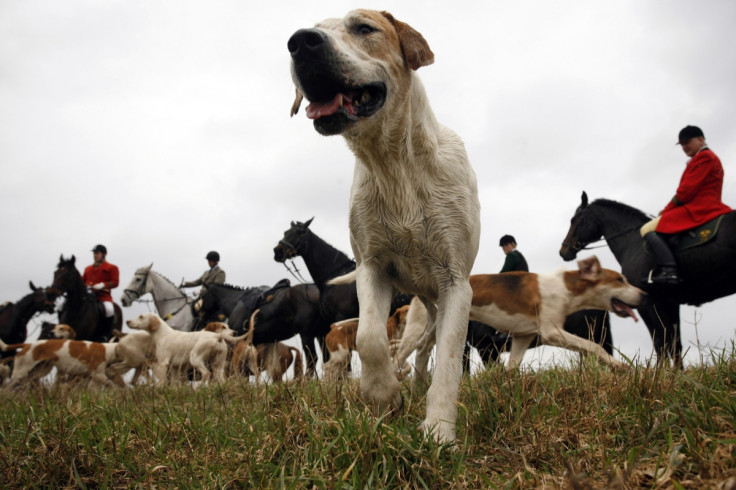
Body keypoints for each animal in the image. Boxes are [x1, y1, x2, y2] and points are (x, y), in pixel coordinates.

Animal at [556, 191, 736, 364]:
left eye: (574, 220)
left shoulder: (647, 303)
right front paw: (676, 373)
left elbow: (661, 343)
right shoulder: (670, 303)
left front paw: (661, 373)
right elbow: (675, 343)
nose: (563, 251)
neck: (632, 241)